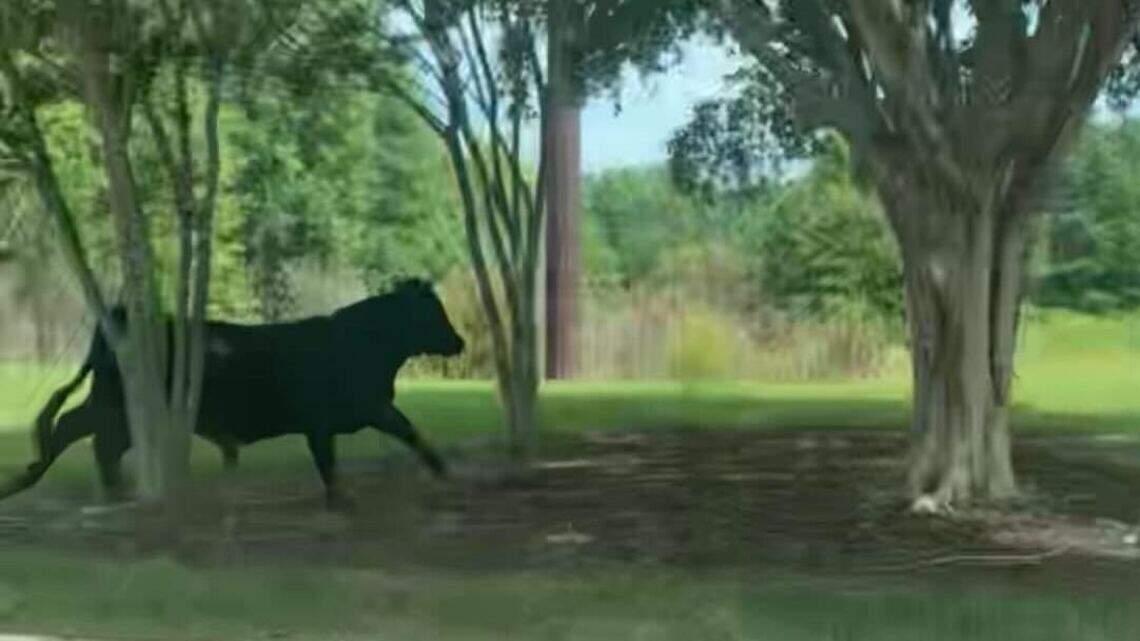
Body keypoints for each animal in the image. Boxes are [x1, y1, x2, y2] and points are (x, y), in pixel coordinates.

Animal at [0, 278, 465, 509]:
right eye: (433, 312)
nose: (459, 341)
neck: (365, 345)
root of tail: (122, 316)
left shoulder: (371, 409)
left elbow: (409, 431)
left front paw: (443, 471)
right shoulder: (331, 420)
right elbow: (331, 461)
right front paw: (340, 499)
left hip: (111, 405)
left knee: (80, 431)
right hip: (120, 407)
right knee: (86, 435)